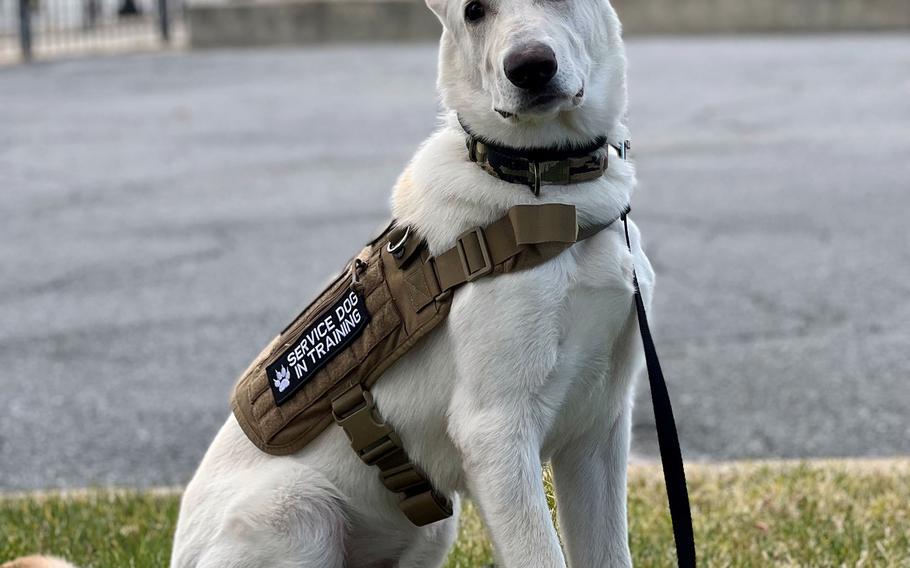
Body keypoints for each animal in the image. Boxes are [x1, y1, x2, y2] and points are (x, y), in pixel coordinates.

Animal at [171, 0, 652, 564]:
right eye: (473, 11)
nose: (530, 68)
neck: (548, 190)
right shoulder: (495, 431)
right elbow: (539, 553)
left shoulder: (600, 427)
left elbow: (609, 551)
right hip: (297, 509)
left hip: (432, 530)